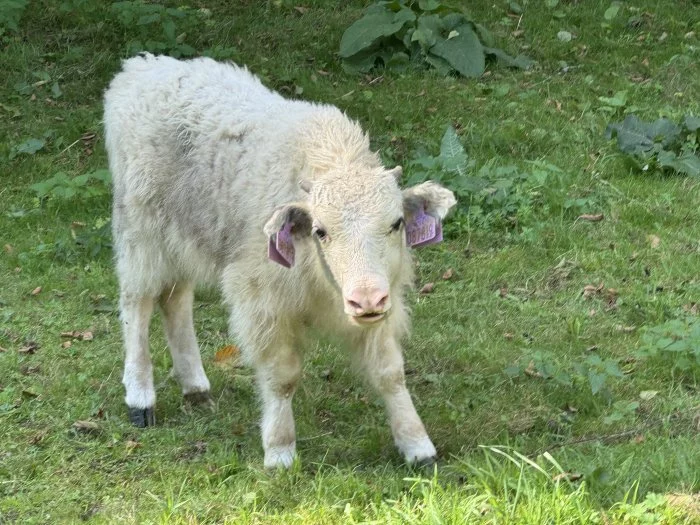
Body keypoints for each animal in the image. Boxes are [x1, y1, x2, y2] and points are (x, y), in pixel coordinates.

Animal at [102, 54, 454, 466]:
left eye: (396, 223)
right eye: (320, 231)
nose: (365, 299)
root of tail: (141, 69)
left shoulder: (385, 303)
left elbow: (390, 372)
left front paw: (417, 445)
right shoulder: (263, 303)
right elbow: (281, 377)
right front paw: (280, 451)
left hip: (185, 236)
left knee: (176, 300)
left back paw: (195, 387)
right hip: (141, 234)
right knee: (137, 304)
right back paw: (140, 398)